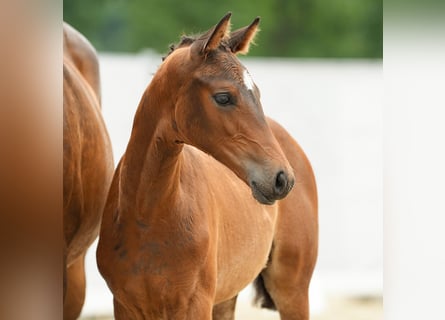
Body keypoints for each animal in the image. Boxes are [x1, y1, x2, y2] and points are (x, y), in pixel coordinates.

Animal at [96, 13, 316, 318]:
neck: (147, 214)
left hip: (292, 289)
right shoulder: (126, 305)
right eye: (223, 97)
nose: (282, 179)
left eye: (257, 93)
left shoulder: (195, 303)